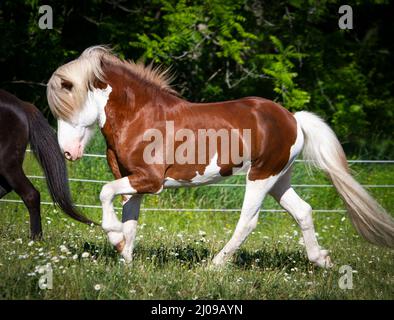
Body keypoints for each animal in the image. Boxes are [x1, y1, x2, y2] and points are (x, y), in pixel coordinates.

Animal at [47, 47, 394, 268]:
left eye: (70, 106)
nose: (68, 152)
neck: (141, 116)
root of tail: (293, 118)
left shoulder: (151, 180)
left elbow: (105, 193)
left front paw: (114, 237)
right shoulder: (132, 180)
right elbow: (130, 220)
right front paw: (125, 258)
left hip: (261, 176)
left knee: (248, 221)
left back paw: (216, 264)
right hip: (279, 178)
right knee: (303, 211)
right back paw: (321, 260)